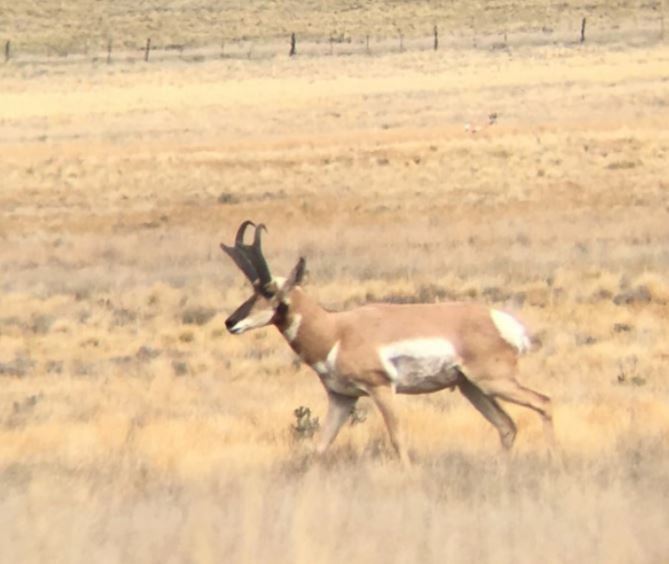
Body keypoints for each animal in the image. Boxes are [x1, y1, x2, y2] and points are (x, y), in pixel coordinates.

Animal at [222, 221, 554, 465]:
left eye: (268, 291)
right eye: (252, 289)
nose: (230, 322)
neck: (336, 330)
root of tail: (496, 318)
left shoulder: (381, 389)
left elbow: (398, 439)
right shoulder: (341, 399)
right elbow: (320, 446)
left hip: (494, 382)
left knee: (543, 402)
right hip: (471, 387)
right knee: (507, 425)